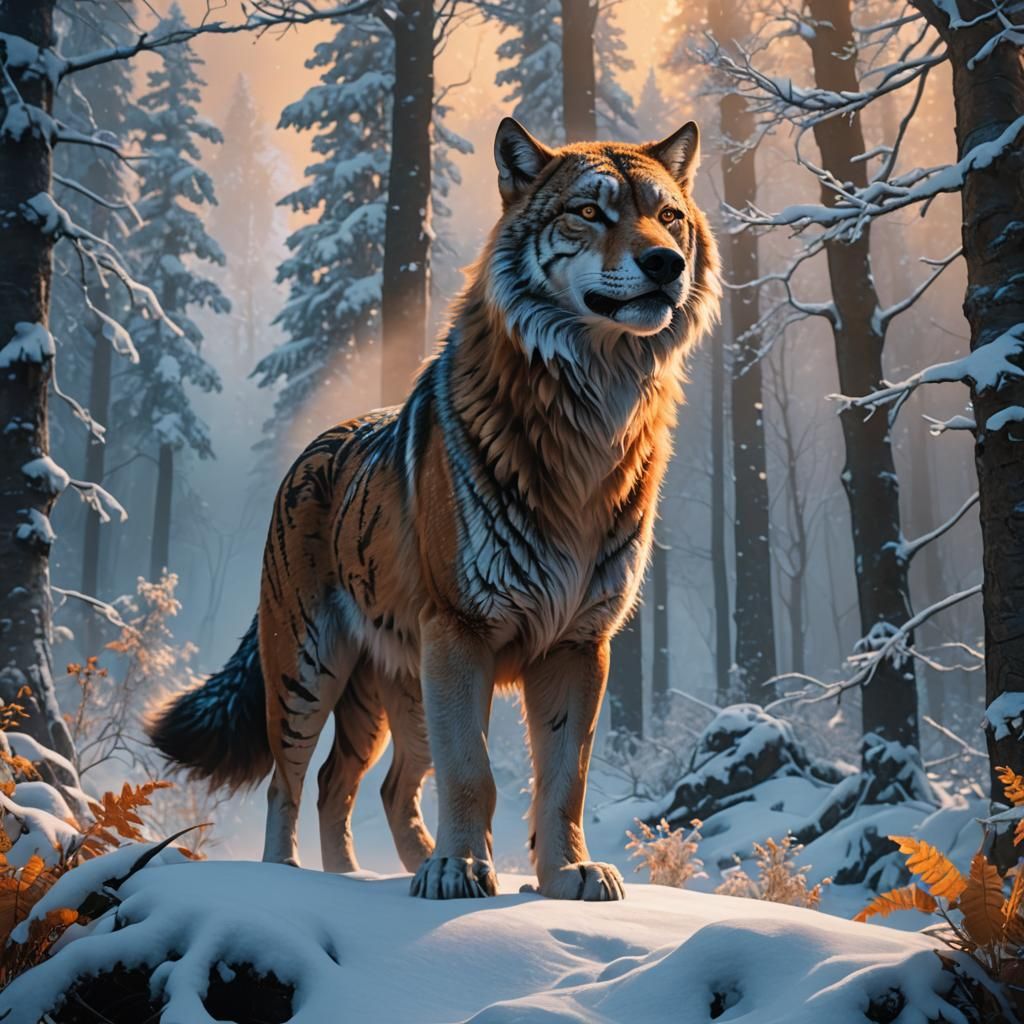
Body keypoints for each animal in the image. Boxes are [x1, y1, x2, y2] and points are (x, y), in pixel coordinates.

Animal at [148, 117, 720, 901]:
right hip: (312, 673)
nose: (665, 262)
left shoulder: (580, 644)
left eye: (668, 216)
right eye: (590, 211)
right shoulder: (461, 633)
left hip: (396, 699)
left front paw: (563, 874)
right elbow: (473, 774)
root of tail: (316, 444)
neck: (592, 413)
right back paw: (295, 877)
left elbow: (562, 779)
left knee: (358, 785)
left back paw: (366, 875)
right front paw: (462, 872)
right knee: (289, 782)